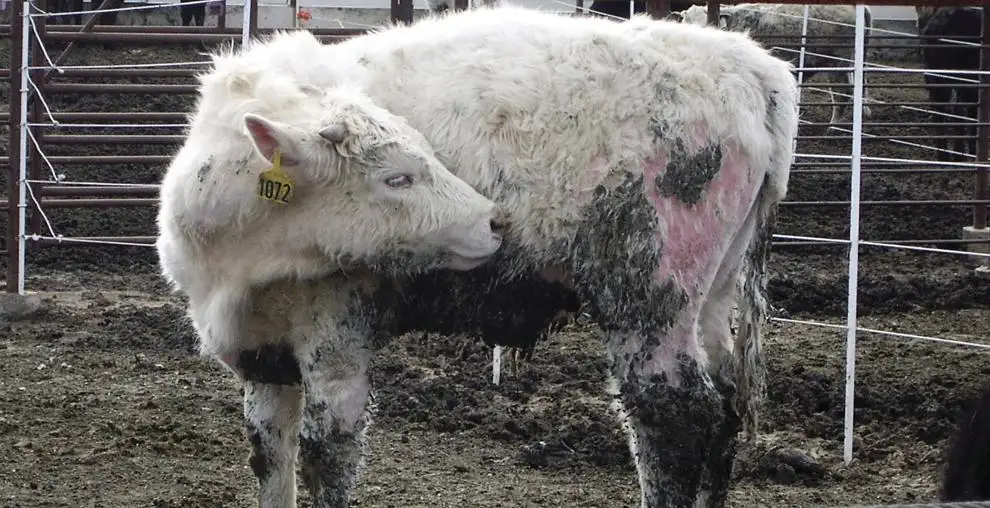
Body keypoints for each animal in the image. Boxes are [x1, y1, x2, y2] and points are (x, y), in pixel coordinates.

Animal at [163, 6, 799, 507]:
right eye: (398, 177)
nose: (495, 220)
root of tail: (750, 65)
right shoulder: (261, 355)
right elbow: (270, 458)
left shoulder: (335, 334)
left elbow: (327, 458)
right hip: (714, 293)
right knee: (725, 408)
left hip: (653, 297)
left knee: (677, 420)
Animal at [916, 6, 983, 162]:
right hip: (961, 77)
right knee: (957, 110)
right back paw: (958, 155)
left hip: (939, 76)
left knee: (940, 111)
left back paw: (944, 154)